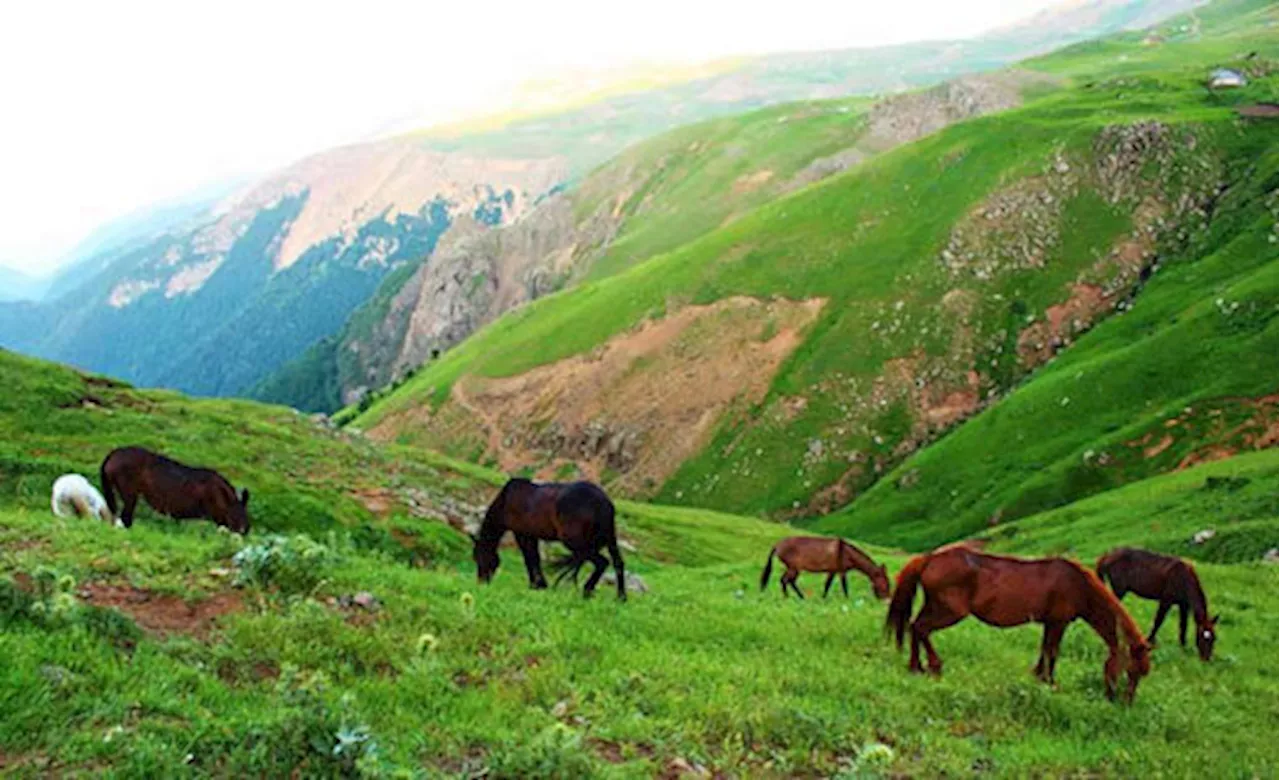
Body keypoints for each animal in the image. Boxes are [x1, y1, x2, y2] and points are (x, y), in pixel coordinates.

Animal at [98, 443, 250, 535]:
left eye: (246, 514)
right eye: (236, 515)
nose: (246, 530)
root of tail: (112, 455)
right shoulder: (213, 517)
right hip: (130, 494)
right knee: (126, 518)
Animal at [473, 476, 627, 599]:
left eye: (478, 557)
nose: (481, 582)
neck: (506, 501)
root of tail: (603, 502)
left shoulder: (522, 534)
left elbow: (529, 558)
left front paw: (536, 584)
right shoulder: (531, 535)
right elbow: (534, 558)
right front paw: (539, 584)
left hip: (576, 543)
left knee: (602, 562)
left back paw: (587, 591)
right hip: (607, 539)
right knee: (618, 563)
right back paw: (620, 597)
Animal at [757, 532, 890, 599]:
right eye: (885, 584)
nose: (887, 599)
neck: (846, 552)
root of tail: (777, 545)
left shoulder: (834, 571)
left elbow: (828, 585)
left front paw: (823, 598)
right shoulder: (840, 571)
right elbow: (843, 585)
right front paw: (847, 599)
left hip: (793, 568)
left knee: (789, 581)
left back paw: (800, 597)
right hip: (793, 567)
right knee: (785, 580)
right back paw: (788, 597)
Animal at [890, 540, 1152, 701]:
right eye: (1131, 671)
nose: (1124, 704)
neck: (1079, 586)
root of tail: (928, 559)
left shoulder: (1050, 623)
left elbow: (1045, 650)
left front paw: (1039, 678)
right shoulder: (1058, 623)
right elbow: (1052, 652)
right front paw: (1050, 682)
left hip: (935, 606)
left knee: (914, 626)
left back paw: (916, 667)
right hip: (949, 611)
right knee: (921, 628)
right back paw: (933, 666)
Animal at [1090, 545, 1218, 660]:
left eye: (1214, 638)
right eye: (1203, 637)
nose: (1206, 659)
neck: (1184, 577)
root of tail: (1107, 555)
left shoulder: (1183, 605)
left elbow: (1183, 625)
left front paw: (1183, 646)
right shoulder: (1166, 600)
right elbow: (1158, 621)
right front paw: (1149, 642)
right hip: (1119, 589)